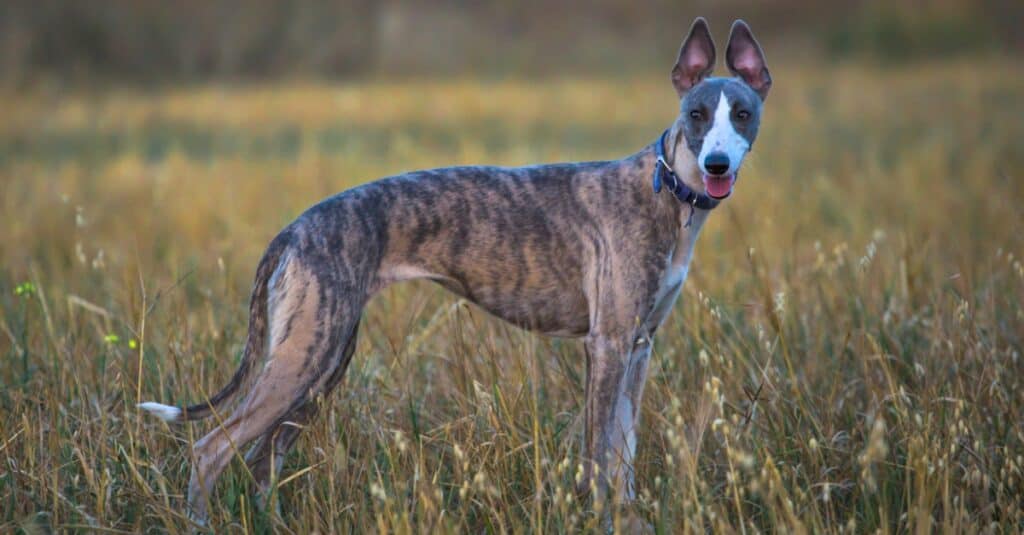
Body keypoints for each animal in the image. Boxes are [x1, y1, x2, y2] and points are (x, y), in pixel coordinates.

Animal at [140, 17, 770, 524]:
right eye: (695, 114)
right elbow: (597, 457)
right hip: (302, 361)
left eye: (742, 113)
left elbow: (624, 455)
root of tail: (292, 230)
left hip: (321, 365)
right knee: (210, 448)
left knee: (261, 458)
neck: (665, 192)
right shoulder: (608, 344)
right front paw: (601, 518)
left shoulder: (639, 346)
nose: (716, 165)